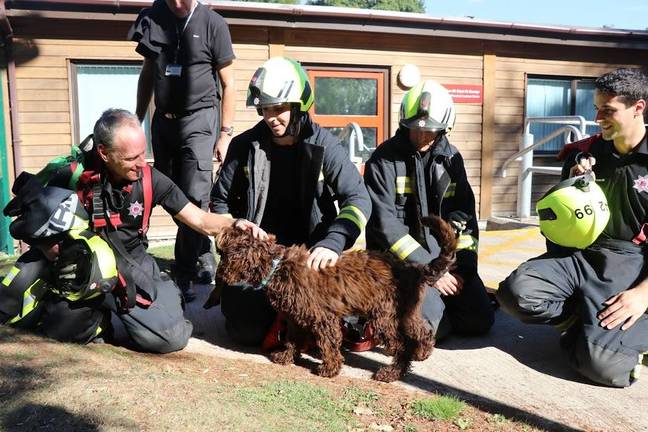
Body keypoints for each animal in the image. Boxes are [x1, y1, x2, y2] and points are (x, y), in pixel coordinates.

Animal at [213, 216, 456, 382]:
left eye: (224, 250)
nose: (220, 273)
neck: (277, 265)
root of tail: (412, 269)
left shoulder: (324, 318)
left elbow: (328, 344)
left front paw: (329, 369)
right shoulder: (295, 317)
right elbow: (292, 338)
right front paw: (286, 356)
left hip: (385, 317)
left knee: (401, 346)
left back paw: (391, 372)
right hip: (406, 312)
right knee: (422, 331)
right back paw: (422, 351)